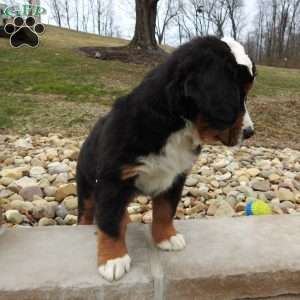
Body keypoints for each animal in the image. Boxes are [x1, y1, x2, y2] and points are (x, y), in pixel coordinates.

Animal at [76, 35, 256, 282]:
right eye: (239, 96)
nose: (250, 132)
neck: (177, 125)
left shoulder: (175, 176)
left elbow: (165, 211)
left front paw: (166, 237)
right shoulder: (114, 179)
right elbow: (109, 220)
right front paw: (113, 259)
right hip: (86, 184)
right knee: (87, 211)